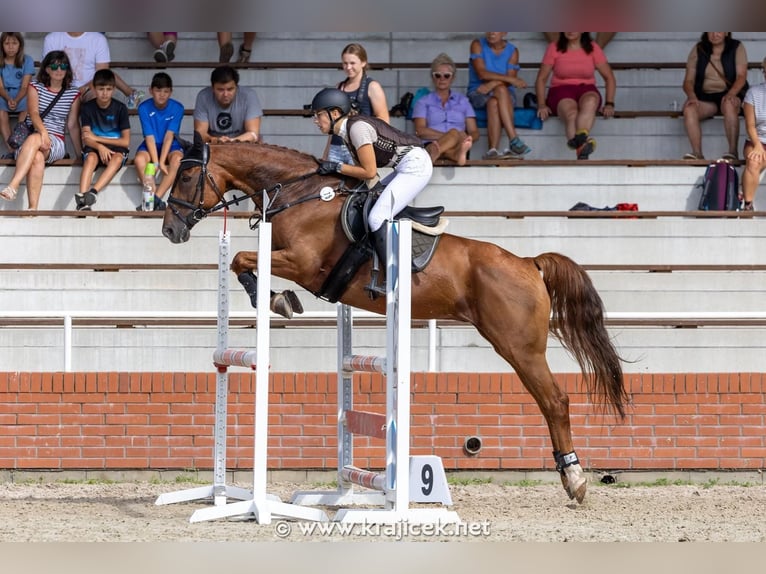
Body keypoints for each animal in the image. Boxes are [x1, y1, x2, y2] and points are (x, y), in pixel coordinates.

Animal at [161, 134, 629, 504]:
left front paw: (276, 299)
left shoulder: (302, 263)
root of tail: (529, 263)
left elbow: (243, 258)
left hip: (518, 346)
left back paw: (575, 479)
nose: (170, 231)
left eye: (185, 177)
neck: (302, 194)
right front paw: (275, 298)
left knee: (555, 401)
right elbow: (241, 260)